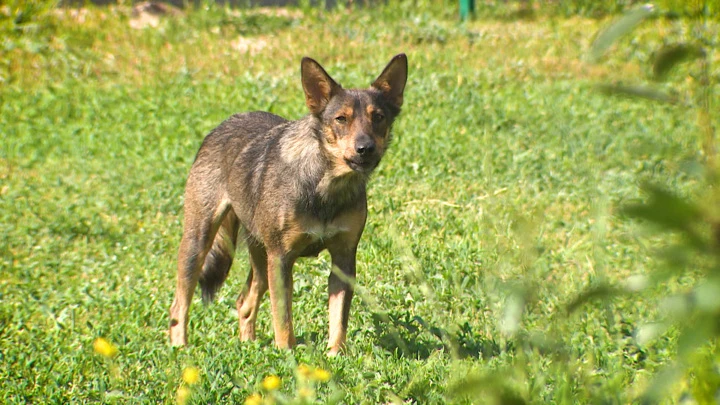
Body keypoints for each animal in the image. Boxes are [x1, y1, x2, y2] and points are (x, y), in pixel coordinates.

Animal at [166, 54, 408, 354]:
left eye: (379, 117)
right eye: (340, 119)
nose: (365, 149)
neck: (325, 186)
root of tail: (222, 125)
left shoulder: (343, 258)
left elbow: (338, 318)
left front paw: (335, 355)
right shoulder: (281, 259)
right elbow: (283, 318)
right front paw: (287, 355)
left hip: (260, 257)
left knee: (244, 302)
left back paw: (249, 347)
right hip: (199, 243)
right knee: (179, 306)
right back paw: (181, 349)